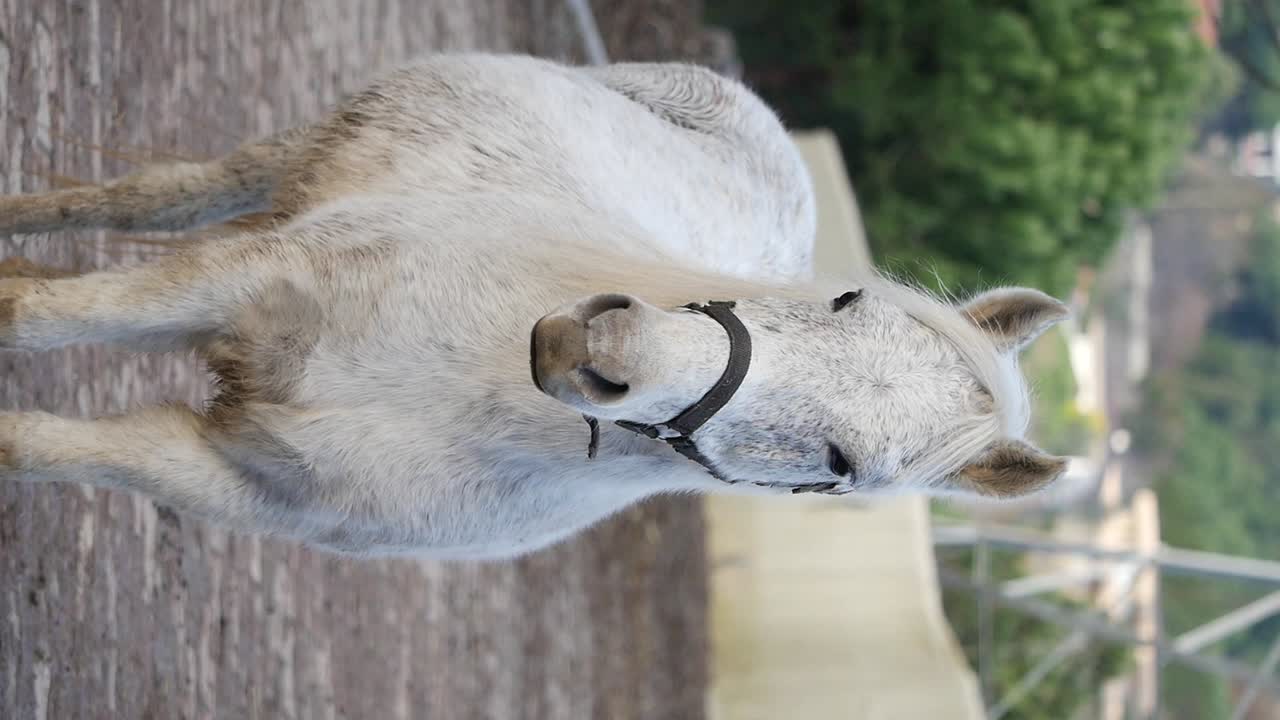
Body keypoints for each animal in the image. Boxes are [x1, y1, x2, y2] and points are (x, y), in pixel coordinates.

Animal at [0, 54, 1068, 559]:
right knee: (146, 200)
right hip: (284, 159)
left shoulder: (224, 475)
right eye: (844, 300)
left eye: (842, 471)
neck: (461, 379)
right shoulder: (243, 279)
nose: (607, 345)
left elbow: (41, 448)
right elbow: (38, 321)